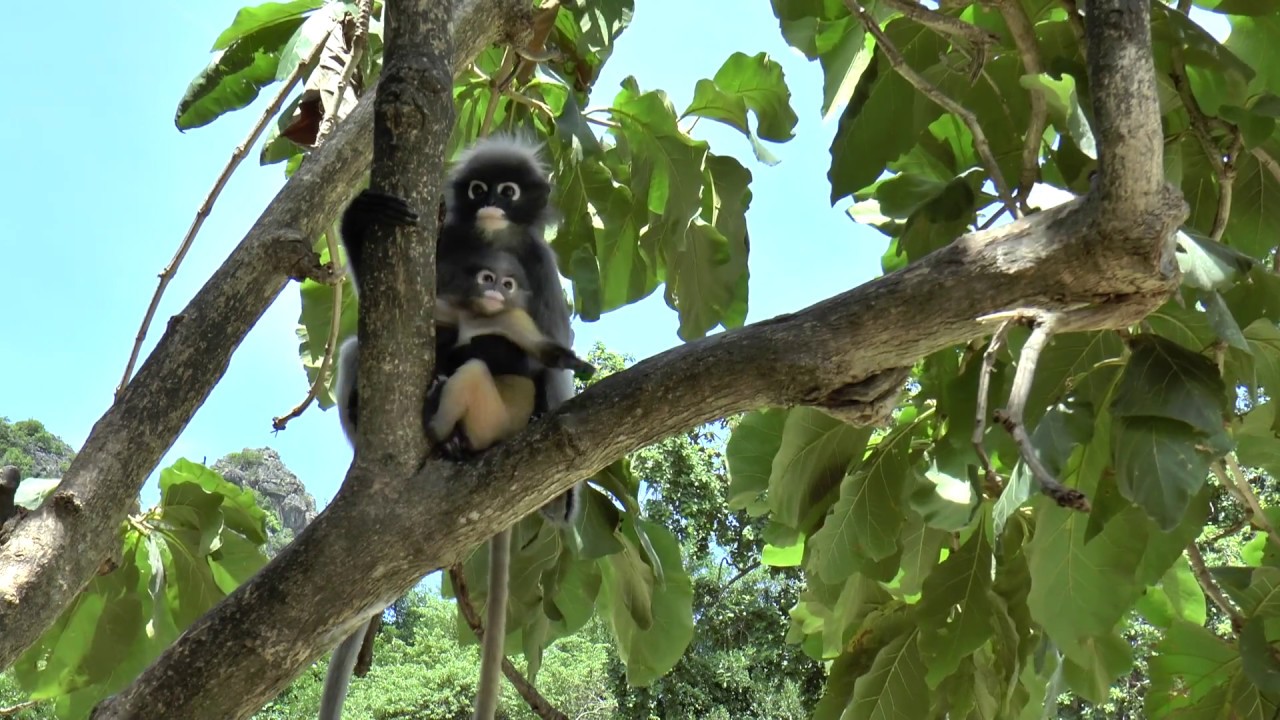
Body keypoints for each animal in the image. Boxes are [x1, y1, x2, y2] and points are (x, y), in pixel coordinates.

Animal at [322, 135, 586, 720]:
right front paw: (360, 216)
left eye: (508, 191)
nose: (489, 203)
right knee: (355, 349)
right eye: (478, 188)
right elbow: (383, 310)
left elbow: (552, 352)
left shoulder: (542, 267)